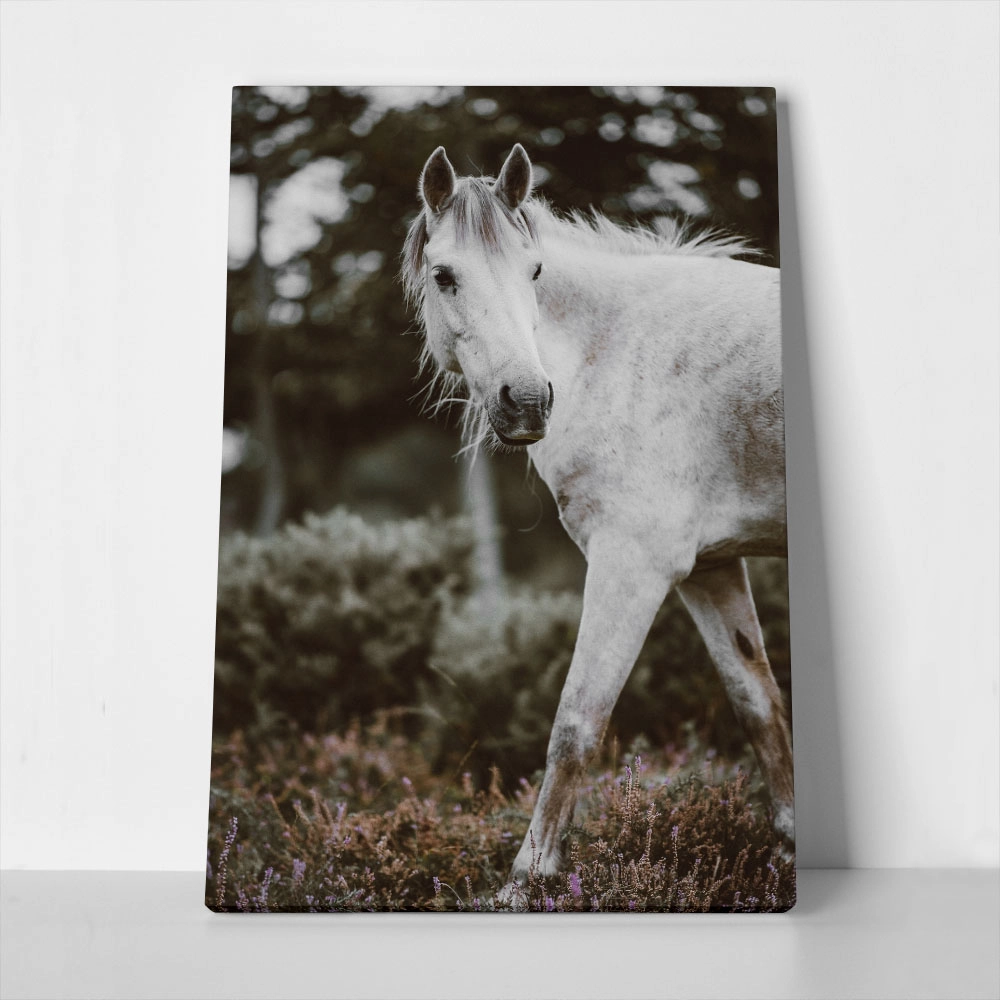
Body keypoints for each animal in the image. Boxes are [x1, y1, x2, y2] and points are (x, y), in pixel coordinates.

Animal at [402, 143, 794, 893]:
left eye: (534, 271)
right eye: (445, 276)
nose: (527, 401)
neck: (613, 353)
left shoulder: (632, 564)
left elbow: (576, 723)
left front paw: (525, 881)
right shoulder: (710, 568)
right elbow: (759, 704)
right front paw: (787, 853)